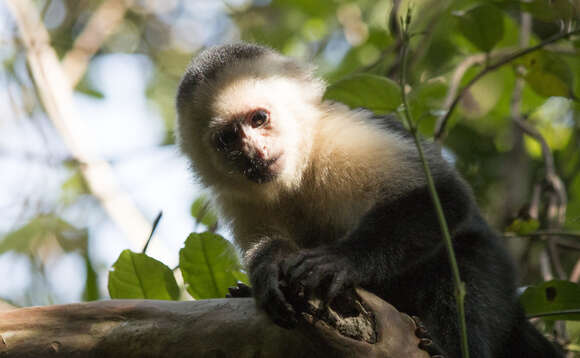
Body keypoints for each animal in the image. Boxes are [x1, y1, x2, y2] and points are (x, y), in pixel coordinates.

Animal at [176, 44, 560, 358]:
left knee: (462, 269)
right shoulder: (235, 194)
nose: (253, 153)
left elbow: (443, 195)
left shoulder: (340, 138)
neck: (299, 171)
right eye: (228, 138)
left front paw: (340, 260)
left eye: (259, 119)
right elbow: (265, 242)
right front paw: (267, 269)